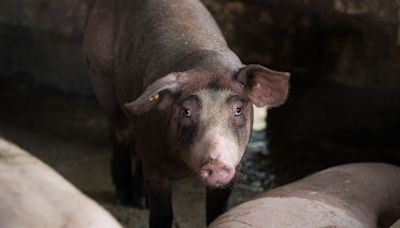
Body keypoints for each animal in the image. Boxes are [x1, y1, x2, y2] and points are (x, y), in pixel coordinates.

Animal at [84, 0, 290, 226]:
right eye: (186, 111)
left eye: (238, 109)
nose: (216, 163)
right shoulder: (156, 168)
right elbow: (162, 214)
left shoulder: (234, 166)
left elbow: (218, 211)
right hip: (100, 72)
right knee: (119, 132)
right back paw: (124, 197)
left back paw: (140, 201)